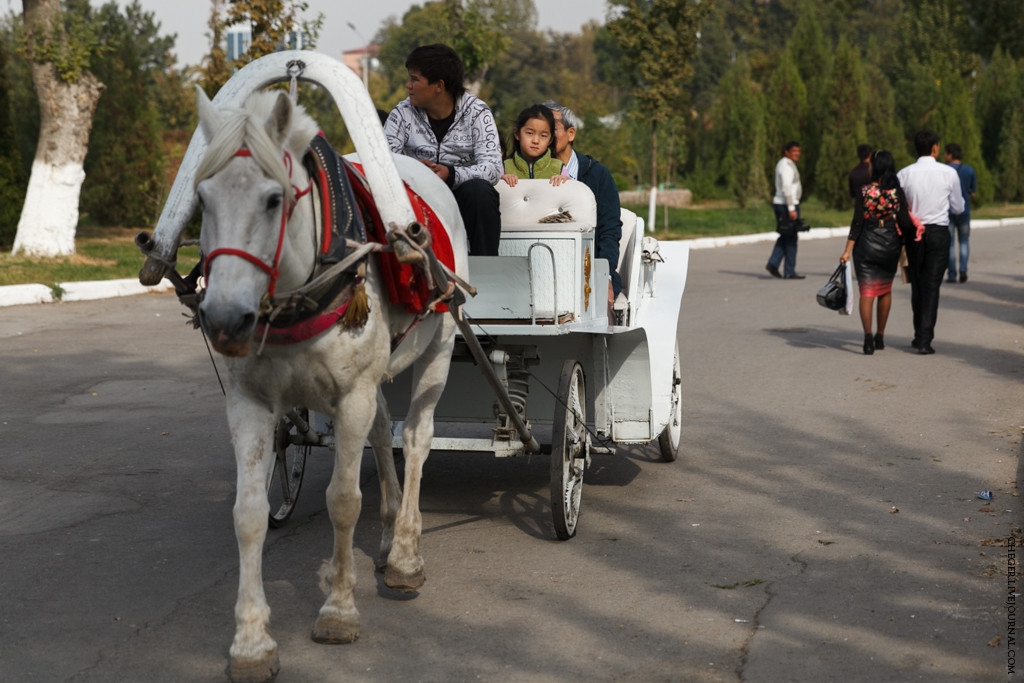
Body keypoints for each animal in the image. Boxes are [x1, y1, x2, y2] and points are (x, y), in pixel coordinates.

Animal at [191, 84, 467, 681]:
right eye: (202, 199)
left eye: (274, 200)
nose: (223, 320)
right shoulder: (249, 402)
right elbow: (248, 514)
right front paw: (252, 642)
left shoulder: (353, 394)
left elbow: (343, 499)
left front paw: (339, 610)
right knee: (385, 430)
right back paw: (387, 536)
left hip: (439, 345)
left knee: (416, 438)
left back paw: (405, 552)